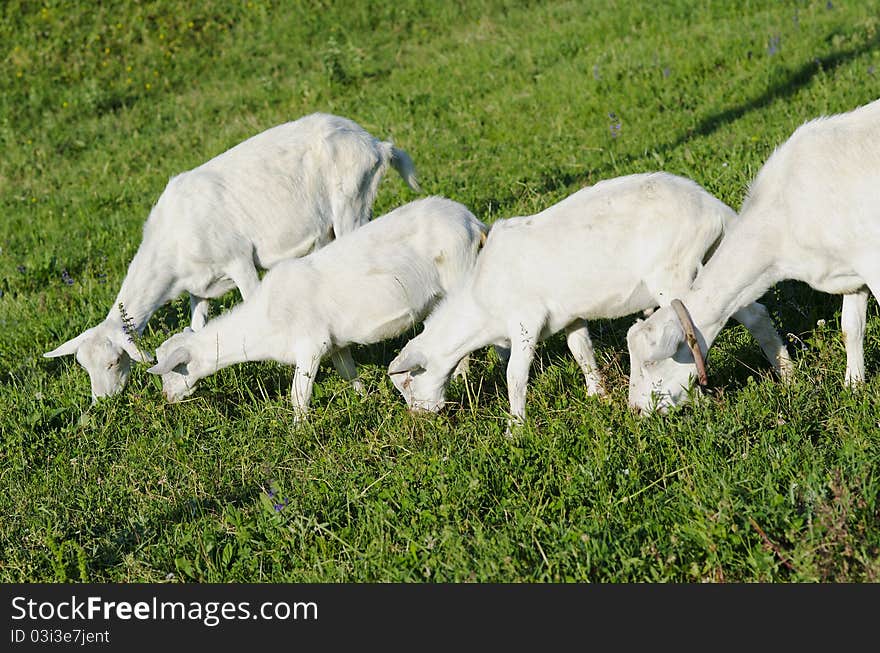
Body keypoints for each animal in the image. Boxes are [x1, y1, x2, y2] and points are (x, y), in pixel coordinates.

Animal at [43, 112, 422, 400]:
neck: (172, 240)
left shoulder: (238, 260)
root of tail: (376, 144)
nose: (103, 401)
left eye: (112, 362)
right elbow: (197, 325)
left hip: (352, 202)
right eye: (84, 366)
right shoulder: (198, 288)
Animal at [145, 195, 488, 418]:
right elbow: (348, 373)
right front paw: (363, 400)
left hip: (459, 274)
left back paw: (464, 377)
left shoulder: (310, 347)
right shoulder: (335, 343)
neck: (262, 321)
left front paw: (299, 431)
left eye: (173, 369)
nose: (166, 397)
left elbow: (298, 397)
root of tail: (472, 221)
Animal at [388, 173, 796, 426]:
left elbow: (515, 375)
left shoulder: (524, 320)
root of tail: (712, 207)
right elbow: (581, 350)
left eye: (407, 382)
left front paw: (515, 426)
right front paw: (596, 394)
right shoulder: (569, 315)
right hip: (710, 263)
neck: (479, 303)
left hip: (674, 273)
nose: (419, 417)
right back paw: (787, 375)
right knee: (755, 314)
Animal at [624, 98, 880, 412]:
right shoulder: (850, 274)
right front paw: (853, 387)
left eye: (650, 362)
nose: (635, 410)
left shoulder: (872, 262)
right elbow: (851, 329)